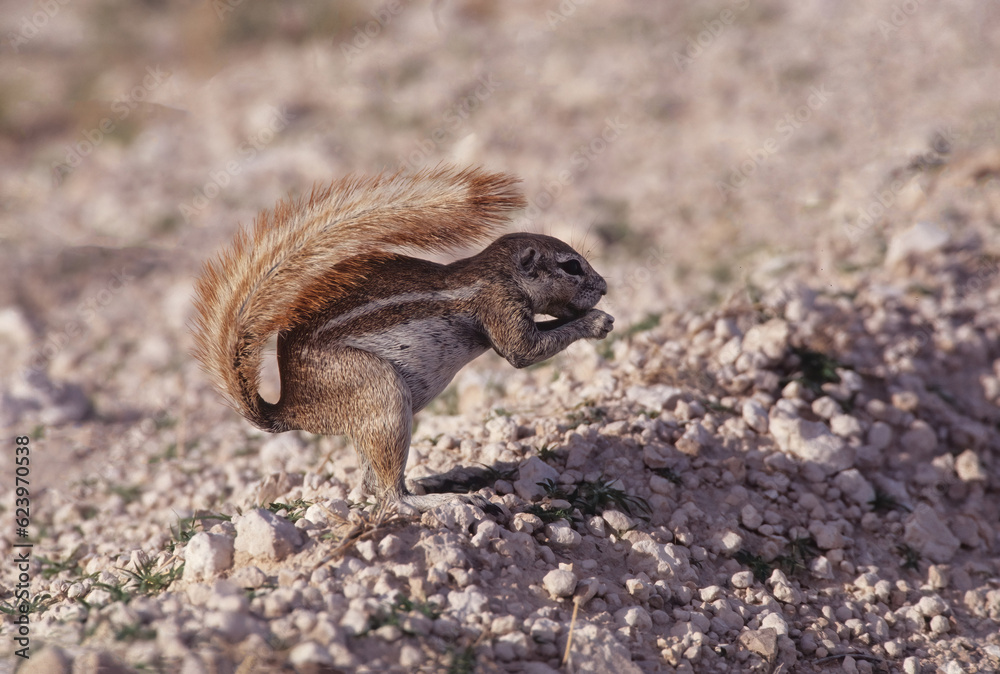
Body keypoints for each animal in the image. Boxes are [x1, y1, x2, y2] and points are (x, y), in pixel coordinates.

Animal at [191, 165, 614, 512]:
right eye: (571, 266)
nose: (604, 287)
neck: (497, 271)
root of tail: (290, 408)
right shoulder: (501, 305)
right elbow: (523, 352)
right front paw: (597, 322)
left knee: (369, 483)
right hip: (382, 393)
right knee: (389, 496)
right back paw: (439, 501)